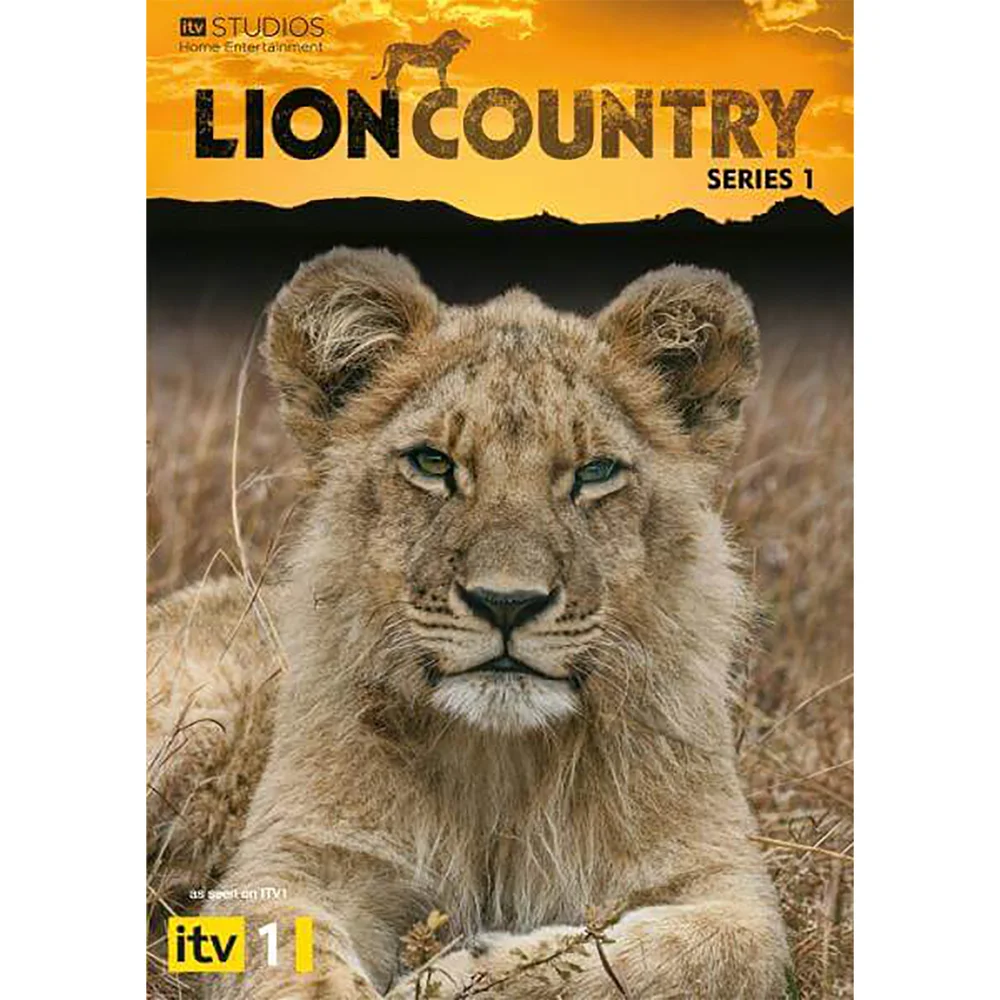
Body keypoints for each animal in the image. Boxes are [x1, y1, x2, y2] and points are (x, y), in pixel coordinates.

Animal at [146, 248, 790, 999]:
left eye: (595, 471)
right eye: (433, 463)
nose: (506, 602)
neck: (502, 758)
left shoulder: (728, 883)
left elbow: (696, 954)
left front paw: (457, 974)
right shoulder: (299, 858)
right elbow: (291, 956)